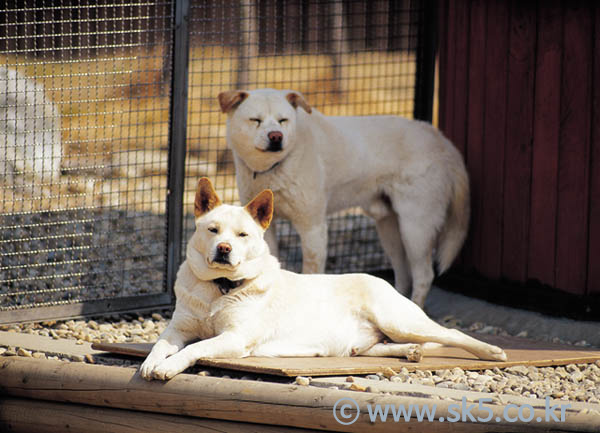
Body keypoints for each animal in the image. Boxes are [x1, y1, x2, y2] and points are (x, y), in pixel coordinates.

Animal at [139, 177, 506, 380]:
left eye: (242, 235)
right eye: (213, 230)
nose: (224, 249)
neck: (220, 287)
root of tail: (383, 281)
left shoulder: (234, 338)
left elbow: (196, 347)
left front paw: (168, 367)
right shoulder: (177, 329)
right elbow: (160, 344)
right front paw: (150, 363)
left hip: (399, 320)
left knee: (452, 334)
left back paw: (491, 352)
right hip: (368, 341)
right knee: (374, 348)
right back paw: (410, 353)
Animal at [218, 88, 472, 306]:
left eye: (283, 121)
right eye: (255, 120)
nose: (276, 137)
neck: (275, 167)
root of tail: (441, 140)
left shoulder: (313, 228)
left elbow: (311, 272)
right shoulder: (266, 230)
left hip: (415, 229)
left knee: (424, 276)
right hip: (390, 230)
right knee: (404, 274)